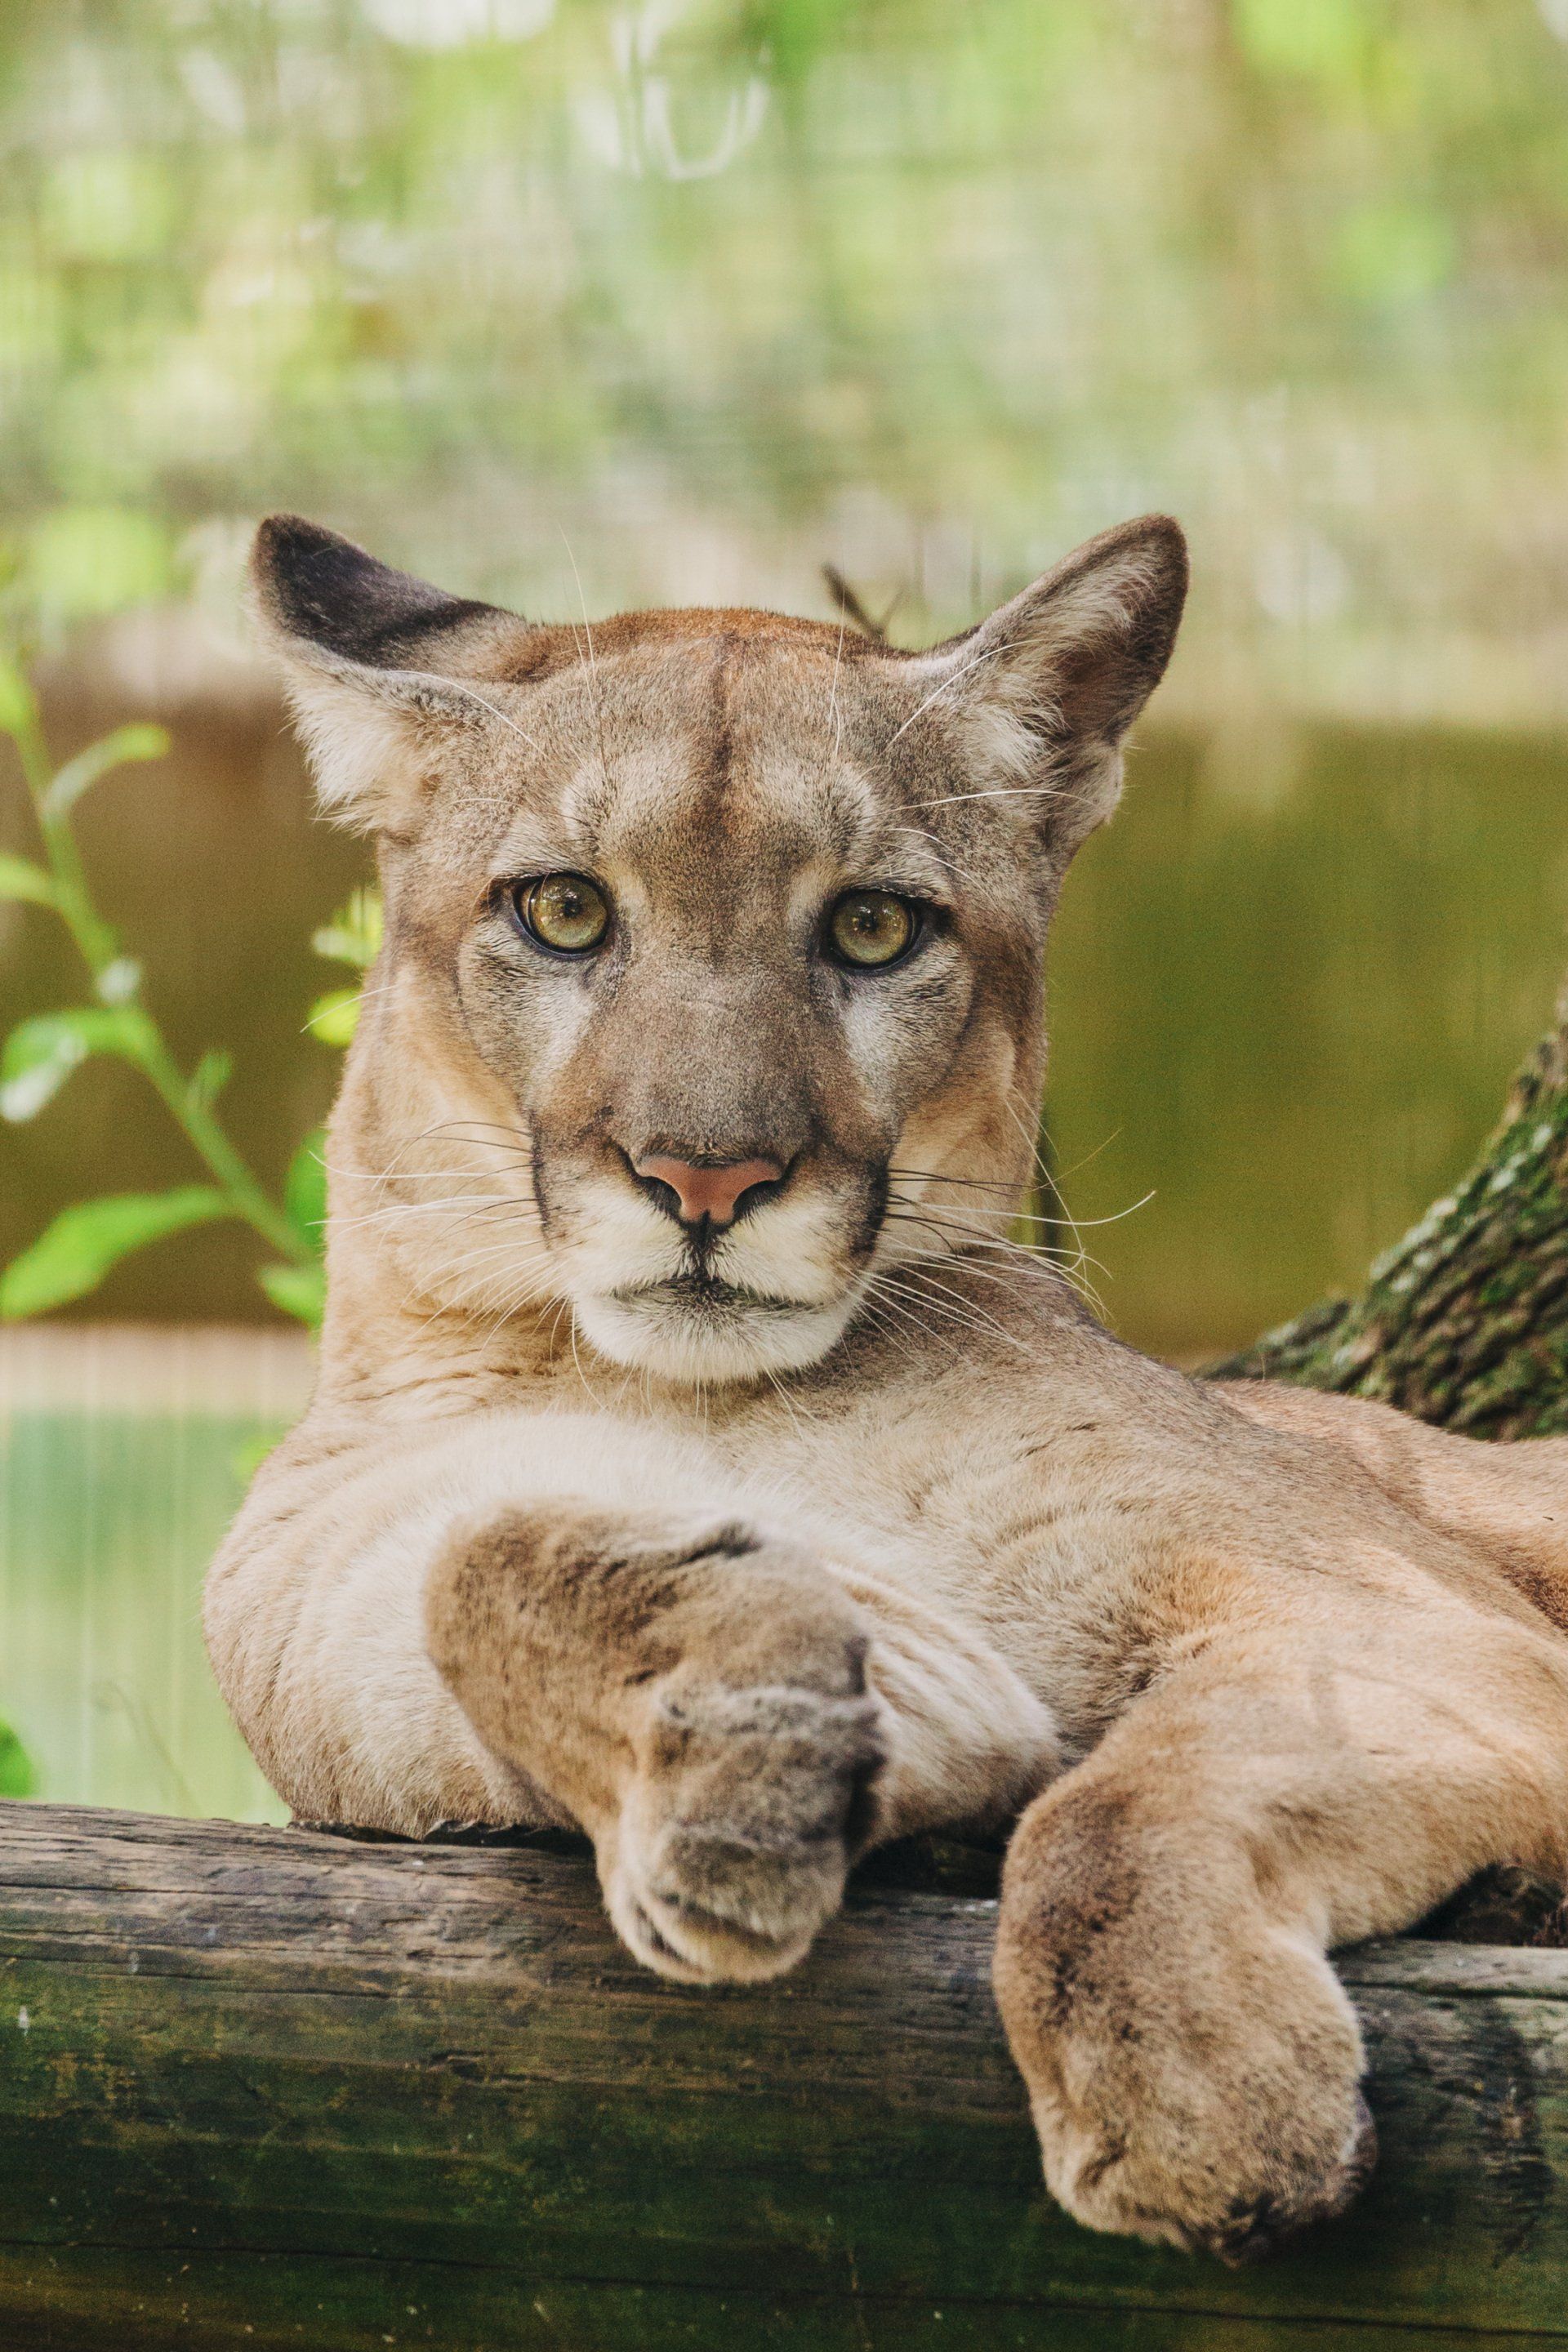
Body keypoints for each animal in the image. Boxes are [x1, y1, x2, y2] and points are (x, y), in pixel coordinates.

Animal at [207, 511, 1568, 2262]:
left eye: (872, 927)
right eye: (564, 911)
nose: (706, 1177)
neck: (676, 1390)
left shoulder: (1397, 1616)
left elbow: (1118, 1814)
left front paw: (1194, 2093)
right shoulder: (337, 1643)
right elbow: (479, 1563)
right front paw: (760, 1718)